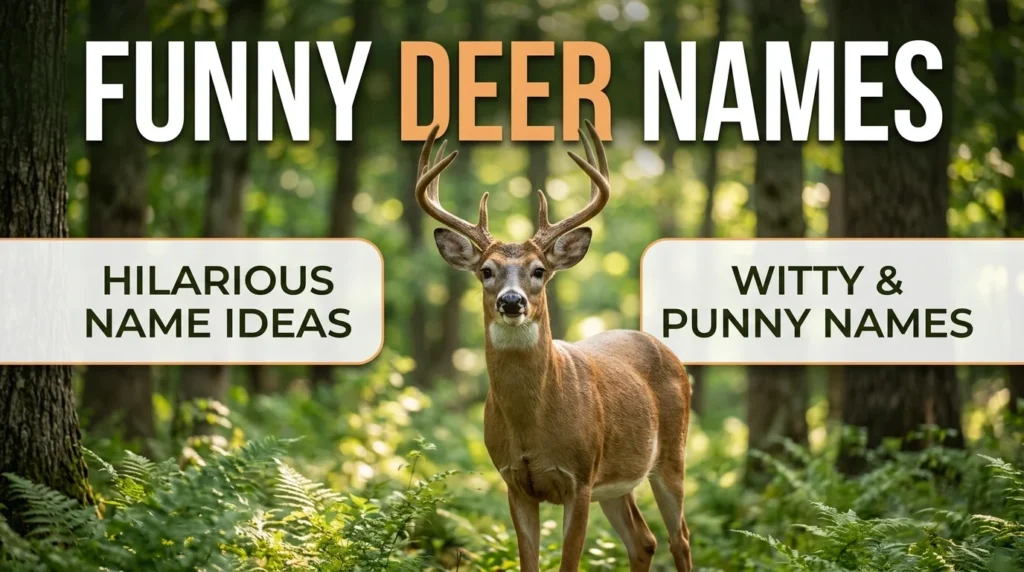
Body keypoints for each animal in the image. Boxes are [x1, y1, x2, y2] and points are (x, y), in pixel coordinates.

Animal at [414, 121, 692, 572]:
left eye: (539, 270)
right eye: (486, 270)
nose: (512, 301)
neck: (532, 423)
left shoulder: (579, 479)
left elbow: (569, 563)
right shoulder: (514, 482)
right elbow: (529, 562)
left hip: (671, 454)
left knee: (679, 537)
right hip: (616, 482)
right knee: (644, 540)